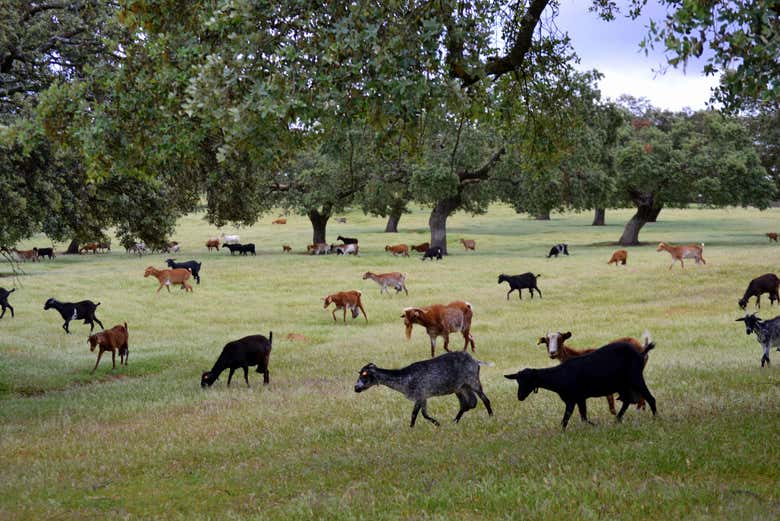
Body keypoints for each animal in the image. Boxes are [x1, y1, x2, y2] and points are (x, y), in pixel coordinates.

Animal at [354, 351, 493, 427]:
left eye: (364, 375)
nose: (356, 388)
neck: (405, 378)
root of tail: (476, 361)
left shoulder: (420, 394)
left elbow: (414, 414)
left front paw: (412, 428)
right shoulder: (423, 396)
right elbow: (424, 414)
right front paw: (437, 424)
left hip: (473, 381)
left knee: (485, 399)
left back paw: (491, 417)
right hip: (461, 387)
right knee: (468, 403)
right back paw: (454, 421)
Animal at [505, 341, 657, 430]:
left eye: (528, 381)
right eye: (518, 381)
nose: (520, 397)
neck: (558, 377)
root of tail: (641, 352)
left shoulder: (572, 399)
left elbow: (566, 419)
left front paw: (562, 433)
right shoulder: (580, 398)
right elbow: (583, 417)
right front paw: (594, 426)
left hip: (635, 378)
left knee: (650, 398)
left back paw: (655, 419)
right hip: (623, 384)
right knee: (627, 401)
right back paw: (617, 419)